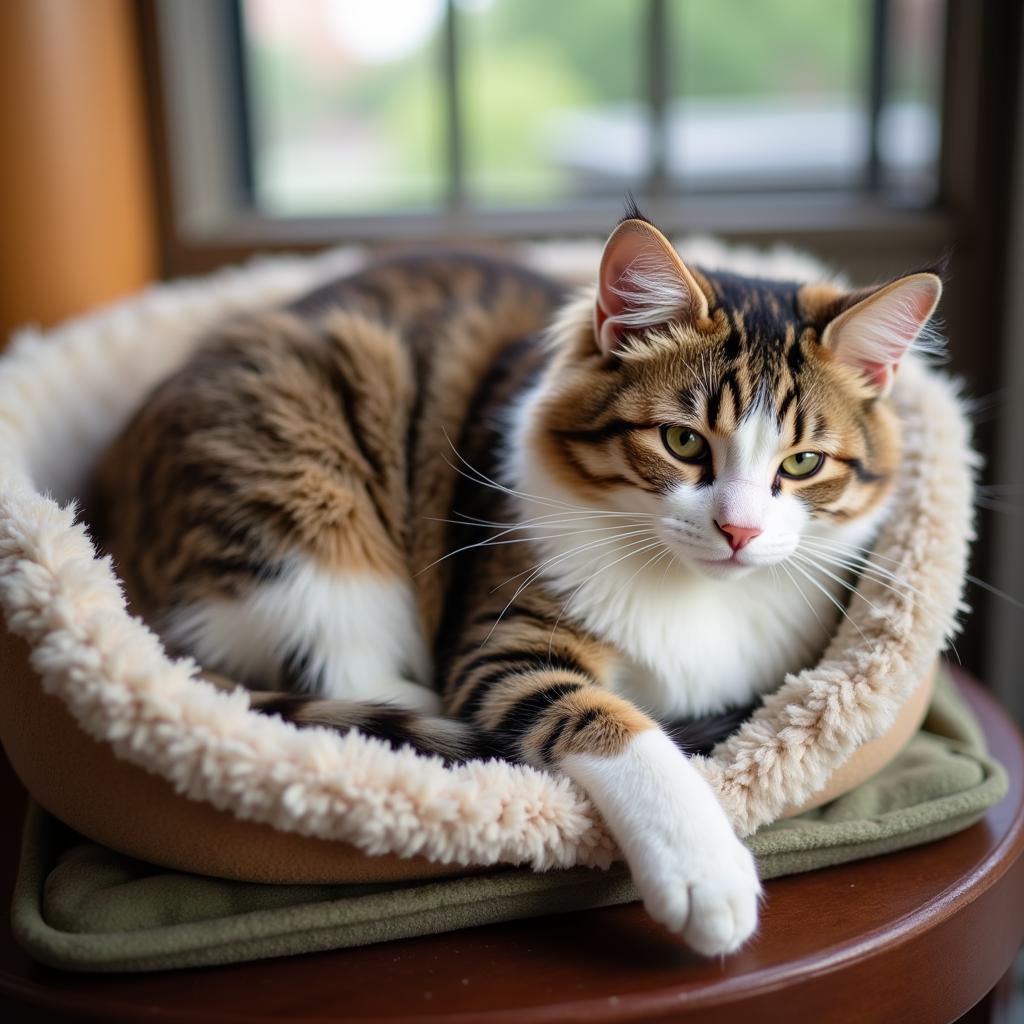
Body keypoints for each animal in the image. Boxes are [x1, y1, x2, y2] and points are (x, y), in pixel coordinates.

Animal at [96, 211, 942, 954]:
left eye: (801, 463)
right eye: (682, 442)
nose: (738, 532)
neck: (693, 587)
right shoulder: (504, 644)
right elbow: (616, 724)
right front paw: (706, 871)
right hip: (305, 504)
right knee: (343, 667)